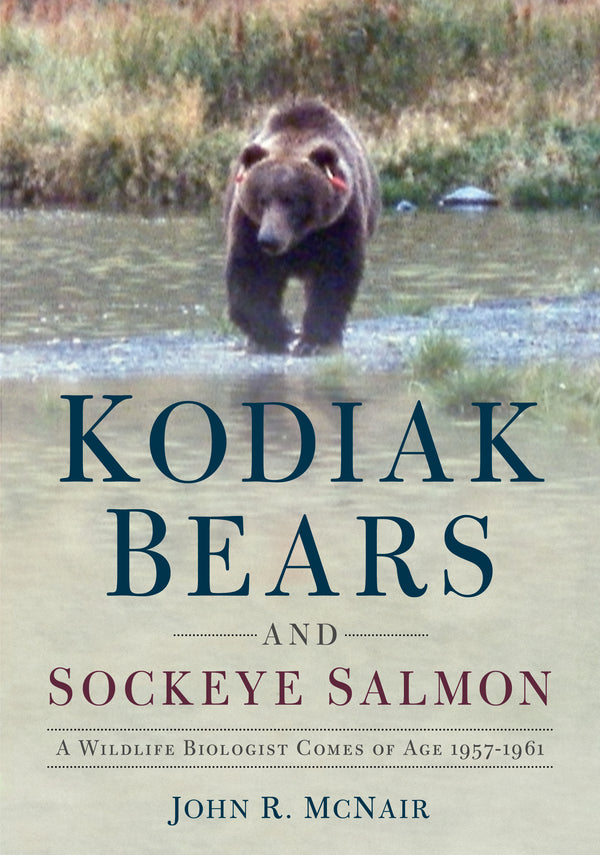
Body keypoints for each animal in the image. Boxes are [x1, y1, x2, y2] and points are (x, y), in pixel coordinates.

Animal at [224, 99, 381, 355]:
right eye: (262, 199)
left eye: (292, 200)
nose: (269, 239)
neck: (299, 239)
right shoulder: (249, 225)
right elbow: (251, 274)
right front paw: (276, 334)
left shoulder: (339, 223)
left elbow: (334, 275)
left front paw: (314, 341)